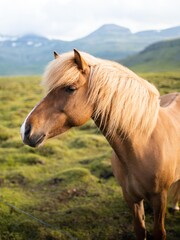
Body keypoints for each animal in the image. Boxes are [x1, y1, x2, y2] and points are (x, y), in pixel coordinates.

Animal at [20, 49, 179, 240]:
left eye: (70, 88)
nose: (25, 130)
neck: (143, 144)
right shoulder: (131, 198)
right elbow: (140, 230)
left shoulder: (159, 198)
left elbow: (159, 232)